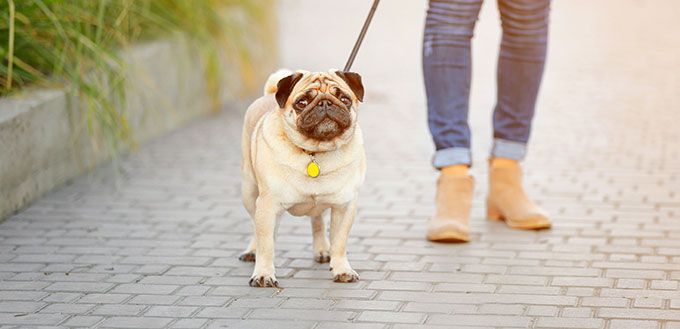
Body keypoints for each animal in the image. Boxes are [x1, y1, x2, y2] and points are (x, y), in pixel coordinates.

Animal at [240, 68, 366, 286]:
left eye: (344, 99)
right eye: (302, 102)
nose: (326, 103)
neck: (315, 152)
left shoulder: (345, 206)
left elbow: (339, 241)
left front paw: (342, 269)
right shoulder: (267, 205)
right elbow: (266, 244)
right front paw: (263, 274)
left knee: (317, 221)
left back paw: (323, 250)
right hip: (249, 191)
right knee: (256, 227)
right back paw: (251, 251)